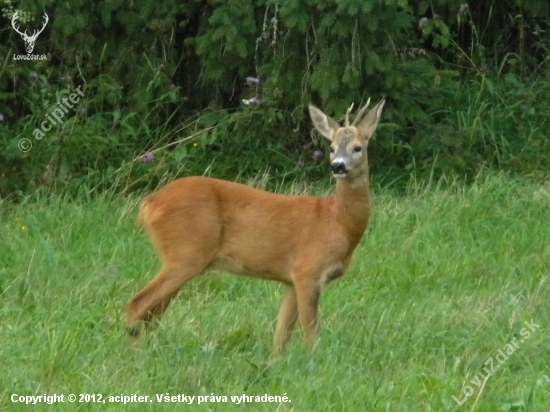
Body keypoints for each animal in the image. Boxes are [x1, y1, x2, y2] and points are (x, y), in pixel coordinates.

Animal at [126, 98, 386, 356]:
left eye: (357, 148)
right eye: (332, 147)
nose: (338, 166)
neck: (337, 221)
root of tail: (149, 204)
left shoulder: (291, 280)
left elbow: (281, 336)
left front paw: (275, 363)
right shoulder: (307, 270)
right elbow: (311, 332)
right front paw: (315, 361)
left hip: (180, 258)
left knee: (152, 313)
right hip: (187, 253)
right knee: (138, 304)